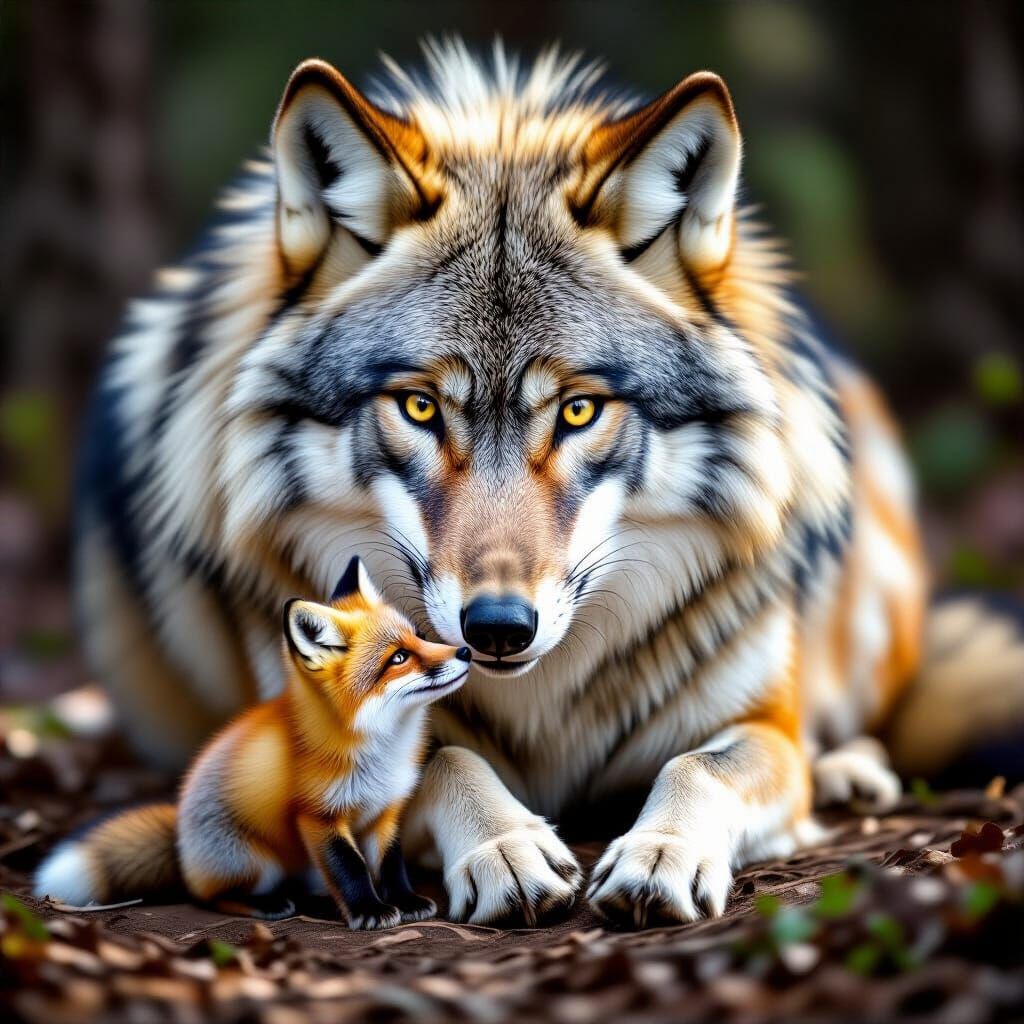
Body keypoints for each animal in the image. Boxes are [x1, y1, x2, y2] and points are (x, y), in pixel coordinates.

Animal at [35, 557, 472, 928]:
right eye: (398, 658)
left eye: (420, 636)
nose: (465, 651)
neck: (383, 749)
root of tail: (181, 841)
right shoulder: (319, 817)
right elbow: (351, 868)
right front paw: (368, 910)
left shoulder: (385, 810)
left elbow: (390, 864)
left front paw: (405, 900)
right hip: (254, 862)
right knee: (210, 896)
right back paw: (268, 904)